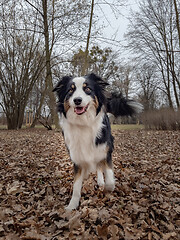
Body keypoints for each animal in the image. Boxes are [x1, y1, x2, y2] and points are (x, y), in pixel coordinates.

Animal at [52, 73, 143, 210]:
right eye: (70, 91)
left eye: (87, 89)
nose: (77, 100)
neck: (83, 123)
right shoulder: (77, 156)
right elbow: (76, 185)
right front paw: (72, 206)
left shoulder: (105, 151)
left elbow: (109, 178)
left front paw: (107, 189)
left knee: (100, 166)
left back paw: (101, 181)